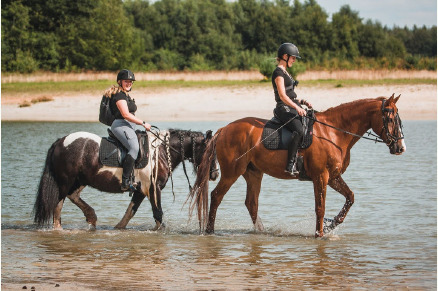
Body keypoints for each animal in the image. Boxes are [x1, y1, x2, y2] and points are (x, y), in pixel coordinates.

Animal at [33, 129, 218, 232]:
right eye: (210, 152)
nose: (215, 174)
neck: (160, 152)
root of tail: (61, 141)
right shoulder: (153, 189)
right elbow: (158, 214)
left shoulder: (140, 190)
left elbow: (130, 212)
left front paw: (118, 229)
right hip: (65, 181)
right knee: (58, 204)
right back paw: (59, 229)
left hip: (80, 180)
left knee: (73, 196)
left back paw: (91, 216)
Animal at [186, 96, 406, 237]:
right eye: (390, 118)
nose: (400, 147)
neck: (334, 133)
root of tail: (225, 129)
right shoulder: (321, 177)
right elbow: (320, 208)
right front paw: (319, 234)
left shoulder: (333, 177)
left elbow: (350, 198)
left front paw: (331, 225)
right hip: (232, 173)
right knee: (216, 196)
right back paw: (210, 232)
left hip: (254, 173)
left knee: (251, 203)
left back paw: (262, 233)